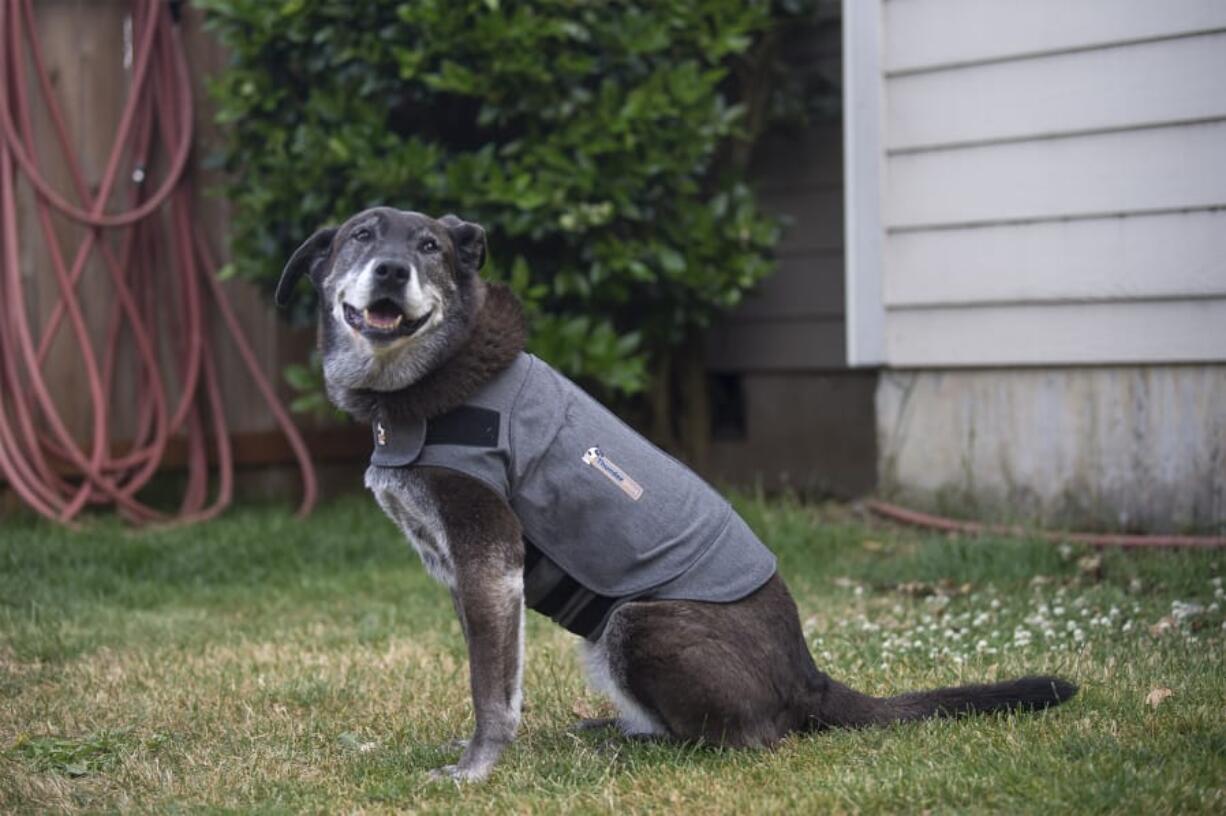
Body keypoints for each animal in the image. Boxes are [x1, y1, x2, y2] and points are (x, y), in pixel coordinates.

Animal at [275, 207, 1073, 779]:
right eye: (361, 235)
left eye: (431, 247)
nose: (390, 270)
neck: (426, 387)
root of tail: (808, 675)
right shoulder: (466, 577)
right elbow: (493, 670)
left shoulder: (488, 558)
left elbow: (490, 687)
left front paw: (475, 771)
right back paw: (613, 730)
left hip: (637, 623)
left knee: (750, 738)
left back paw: (634, 747)